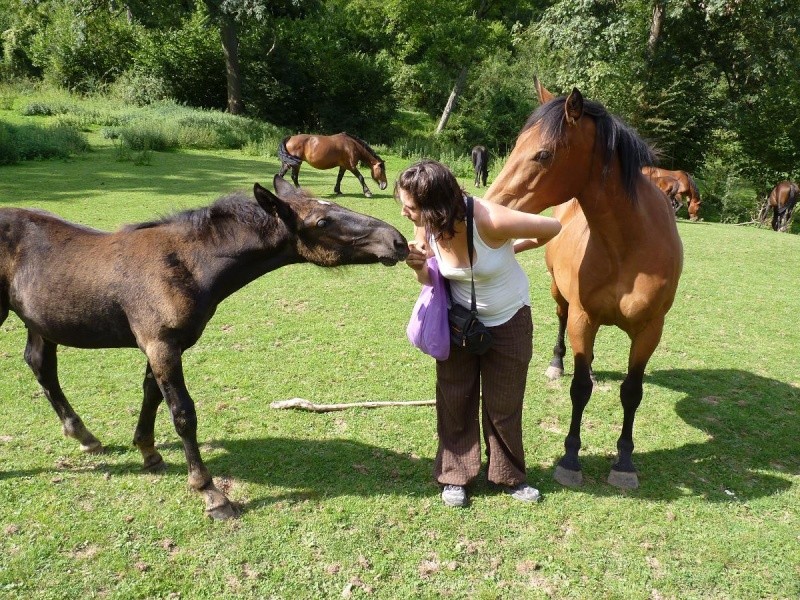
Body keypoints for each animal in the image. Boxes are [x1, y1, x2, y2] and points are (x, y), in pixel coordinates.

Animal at [0, 175, 410, 520]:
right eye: (322, 222)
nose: (398, 241)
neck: (185, 264)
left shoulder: (164, 346)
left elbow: (151, 394)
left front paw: (148, 452)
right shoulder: (161, 344)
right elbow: (183, 413)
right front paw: (210, 492)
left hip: (38, 322)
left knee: (40, 365)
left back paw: (84, 436)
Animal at [484, 79, 684, 490]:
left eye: (542, 154)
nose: (488, 208)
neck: (629, 244)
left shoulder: (650, 330)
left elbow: (632, 392)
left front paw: (624, 463)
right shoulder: (582, 317)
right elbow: (579, 391)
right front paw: (570, 459)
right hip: (561, 298)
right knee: (563, 328)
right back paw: (558, 364)